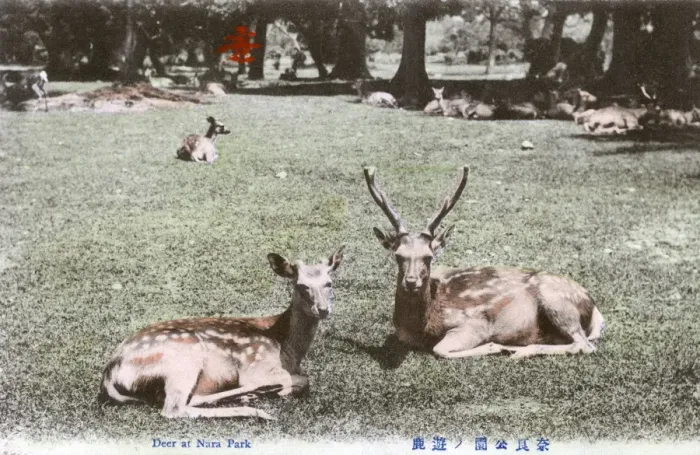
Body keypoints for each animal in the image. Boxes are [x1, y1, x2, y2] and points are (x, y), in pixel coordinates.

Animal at [98, 247, 345, 419]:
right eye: (301, 285)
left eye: (329, 283)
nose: (323, 309)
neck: (288, 350)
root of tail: (110, 373)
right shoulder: (256, 366)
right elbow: (301, 379)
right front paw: (271, 389)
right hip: (184, 355)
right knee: (174, 409)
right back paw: (256, 408)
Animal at [363, 166, 605, 359]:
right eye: (398, 255)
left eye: (428, 257)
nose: (411, 281)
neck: (422, 326)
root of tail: (592, 305)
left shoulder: (475, 323)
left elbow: (440, 349)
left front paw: (494, 346)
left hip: (556, 300)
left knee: (584, 344)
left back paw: (517, 351)